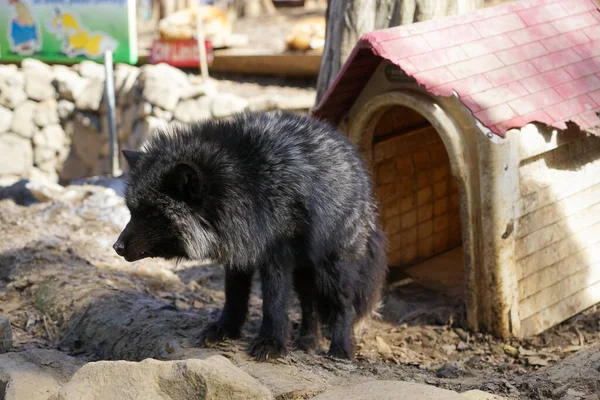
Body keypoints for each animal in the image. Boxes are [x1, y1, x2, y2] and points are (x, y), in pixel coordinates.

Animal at [113, 111, 390, 360]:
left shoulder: (276, 255)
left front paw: (271, 343)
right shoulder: (239, 250)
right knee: (309, 305)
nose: (117, 247)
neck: (244, 181)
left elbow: (274, 301)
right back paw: (307, 341)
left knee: (344, 304)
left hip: (331, 268)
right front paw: (224, 330)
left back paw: (341, 348)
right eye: (132, 211)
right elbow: (234, 296)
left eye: (152, 214)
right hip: (304, 271)